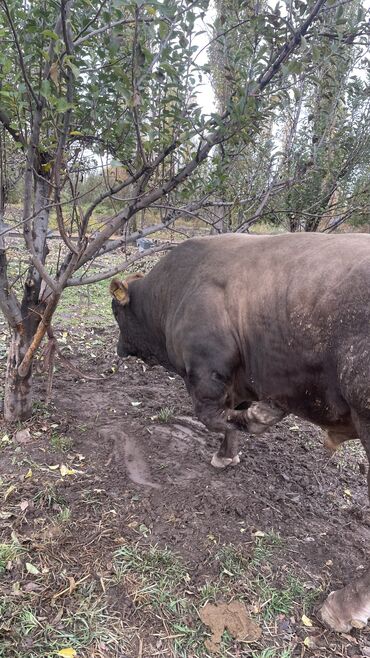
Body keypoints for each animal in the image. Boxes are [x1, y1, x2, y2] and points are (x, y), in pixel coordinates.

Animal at [110, 233, 370, 632]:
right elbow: (228, 418)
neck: (175, 289)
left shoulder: (206, 373)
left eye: (116, 313)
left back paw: (343, 606)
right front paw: (227, 454)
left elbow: (214, 416)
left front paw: (260, 418)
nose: (119, 348)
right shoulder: (237, 379)